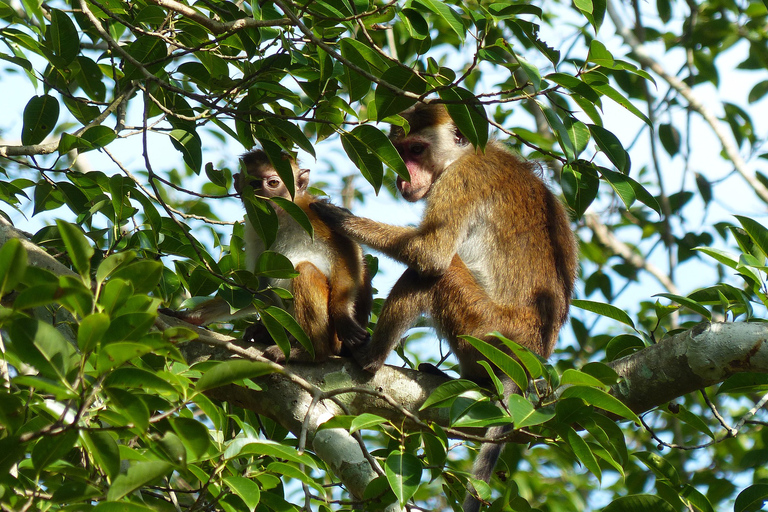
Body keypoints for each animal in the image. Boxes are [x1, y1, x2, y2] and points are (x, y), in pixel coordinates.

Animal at [174, 149, 372, 364]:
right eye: (254, 184)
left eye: (273, 183)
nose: (262, 196)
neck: (281, 218)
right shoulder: (255, 230)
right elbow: (258, 291)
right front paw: (192, 315)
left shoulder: (311, 210)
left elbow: (348, 252)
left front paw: (343, 314)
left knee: (305, 270)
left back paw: (312, 352)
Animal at [310, 102, 576, 510]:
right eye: (399, 151)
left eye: (417, 150)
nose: (403, 179)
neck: (465, 155)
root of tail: (530, 354)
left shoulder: (460, 181)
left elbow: (430, 254)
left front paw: (339, 218)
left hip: (485, 328)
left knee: (437, 271)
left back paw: (369, 358)